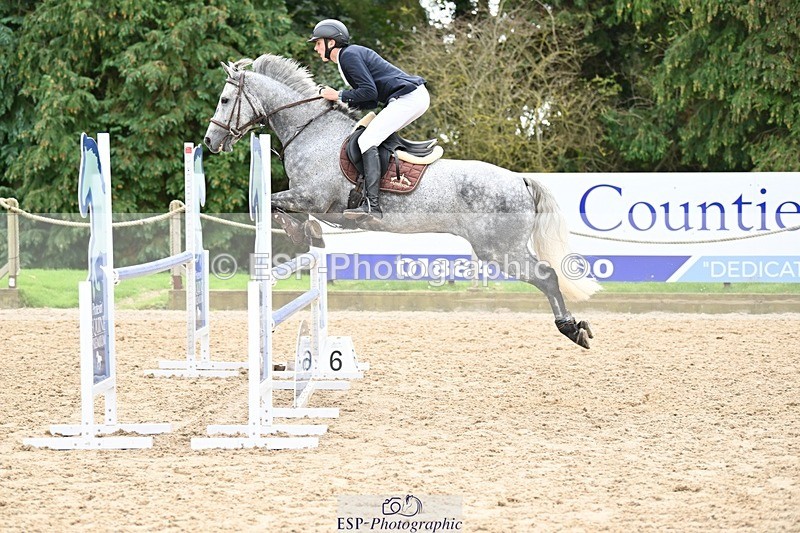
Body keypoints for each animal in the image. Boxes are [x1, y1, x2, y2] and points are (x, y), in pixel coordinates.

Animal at [204, 55, 600, 348]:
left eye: (225, 100)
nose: (209, 141)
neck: (310, 130)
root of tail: (519, 179)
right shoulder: (312, 202)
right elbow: (280, 208)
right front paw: (307, 233)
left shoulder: (313, 197)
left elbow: (272, 203)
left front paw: (300, 232)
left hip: (500, 249)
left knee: (547, 276)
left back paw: (571, 329)